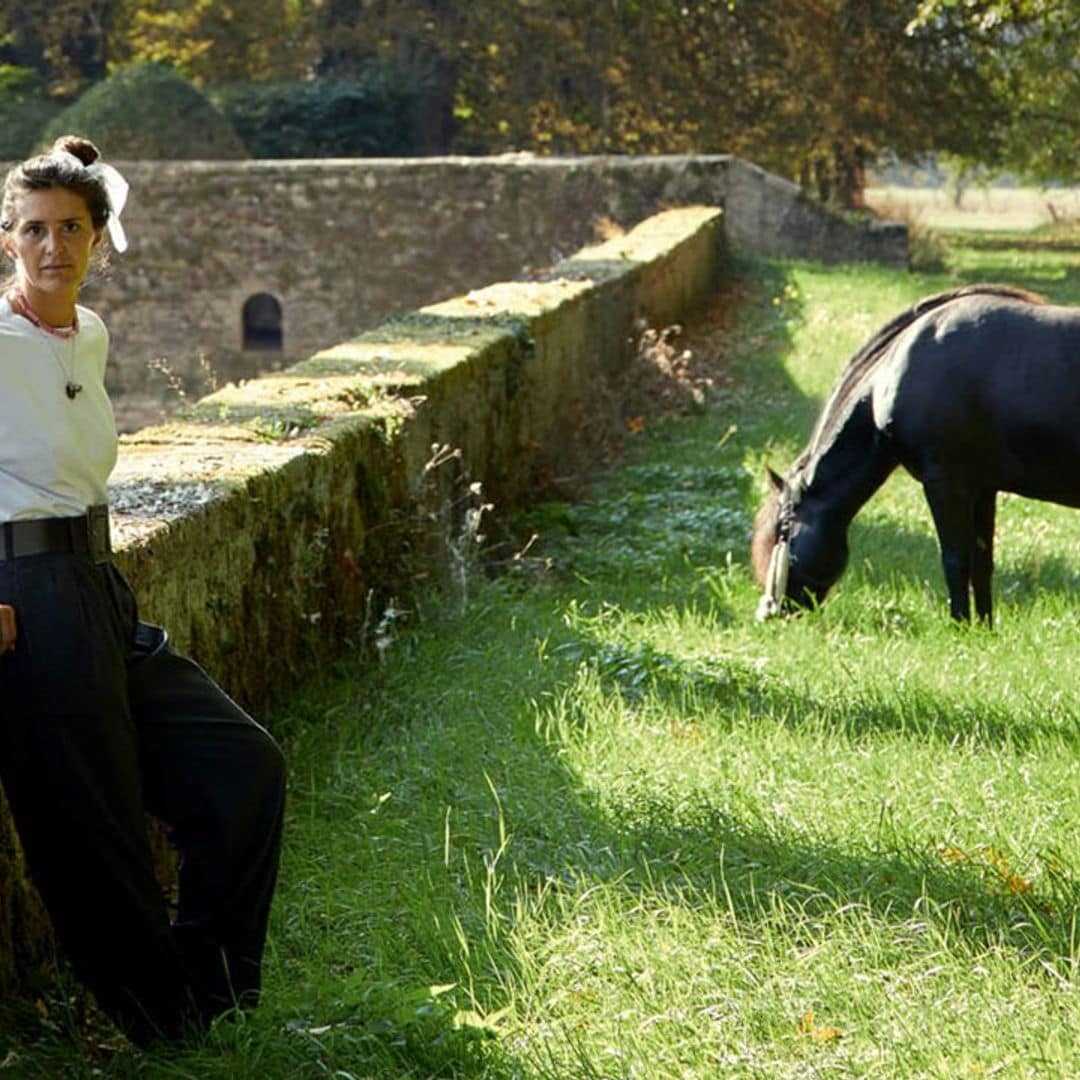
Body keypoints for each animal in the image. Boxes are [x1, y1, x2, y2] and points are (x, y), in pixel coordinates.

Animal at [756, 285, 1080, 626]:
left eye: (781, 531)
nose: (769, 610)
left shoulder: (944, 484)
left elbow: (955, 560)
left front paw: (961, 626)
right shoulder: (982, 488)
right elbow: (982, 562)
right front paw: (983, 627)